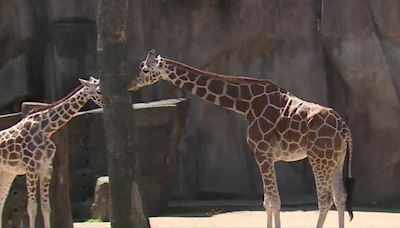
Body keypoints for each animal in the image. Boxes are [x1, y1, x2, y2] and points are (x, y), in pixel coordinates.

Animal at [0, 77, 103, 228]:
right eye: (99, 91)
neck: (46, 129)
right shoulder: (31, 168)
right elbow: (32, 207)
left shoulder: (47, 168)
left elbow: (46, 207)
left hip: (7, 173)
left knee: (1, 201)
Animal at [129, 50, 356, 228]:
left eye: (145, 70)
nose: (131, 85)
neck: (245, 104)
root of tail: (345, 128)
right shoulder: (266, 156)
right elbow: (268, 202)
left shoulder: (262, 152)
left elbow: (274, 201)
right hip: (336, 159)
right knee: (341, 196)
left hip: (319, 157)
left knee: (325, 199)